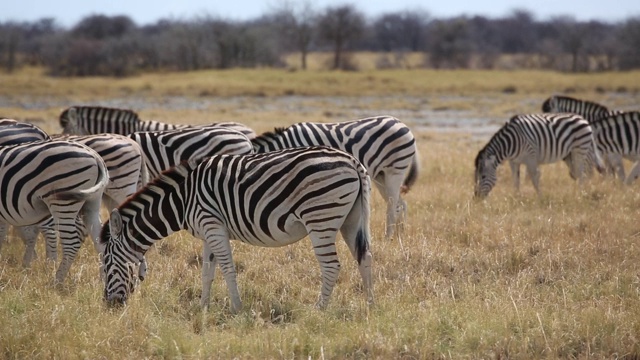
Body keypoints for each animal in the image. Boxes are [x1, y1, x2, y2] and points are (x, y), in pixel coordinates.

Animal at [0, 139, 109, 282]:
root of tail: (96, 156)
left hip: (63, 201)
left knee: (70, 243)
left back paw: (56, 281)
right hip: (91, 203)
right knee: (100, 243)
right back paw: (103, 281)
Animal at [97, 146, 372, 312]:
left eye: (107, 264)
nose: (109, 305)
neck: (183, 199)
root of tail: (352, 161)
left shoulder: (213, 225)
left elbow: (227, 268)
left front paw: (237, 308)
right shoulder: (207, 232)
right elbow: (206, 272)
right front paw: (203, 308)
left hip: (321, 218)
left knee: (331, 266)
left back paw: (319, 310)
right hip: (351, 220)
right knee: (365, 257)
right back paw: (371, 306)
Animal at [250, 115, 420, 239]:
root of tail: (401, 123)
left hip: (395, 170)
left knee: (392, 205)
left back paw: (388, 237)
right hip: (381, 176)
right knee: (400, 204)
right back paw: (400, 235)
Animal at [476, 112, 604, 198]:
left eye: (483, 177)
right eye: (475, 176)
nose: (476, 198)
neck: (511, 142)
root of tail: (583, 119)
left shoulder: (531, 157)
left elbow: (535, 177)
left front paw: (540, 197)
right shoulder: (514, 161)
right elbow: (516, 180)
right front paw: (516, 197)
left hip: (580, 149)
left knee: (583, 173)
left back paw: (580, 194)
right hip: (570, 154)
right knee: (579, 173)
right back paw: (579, 192)